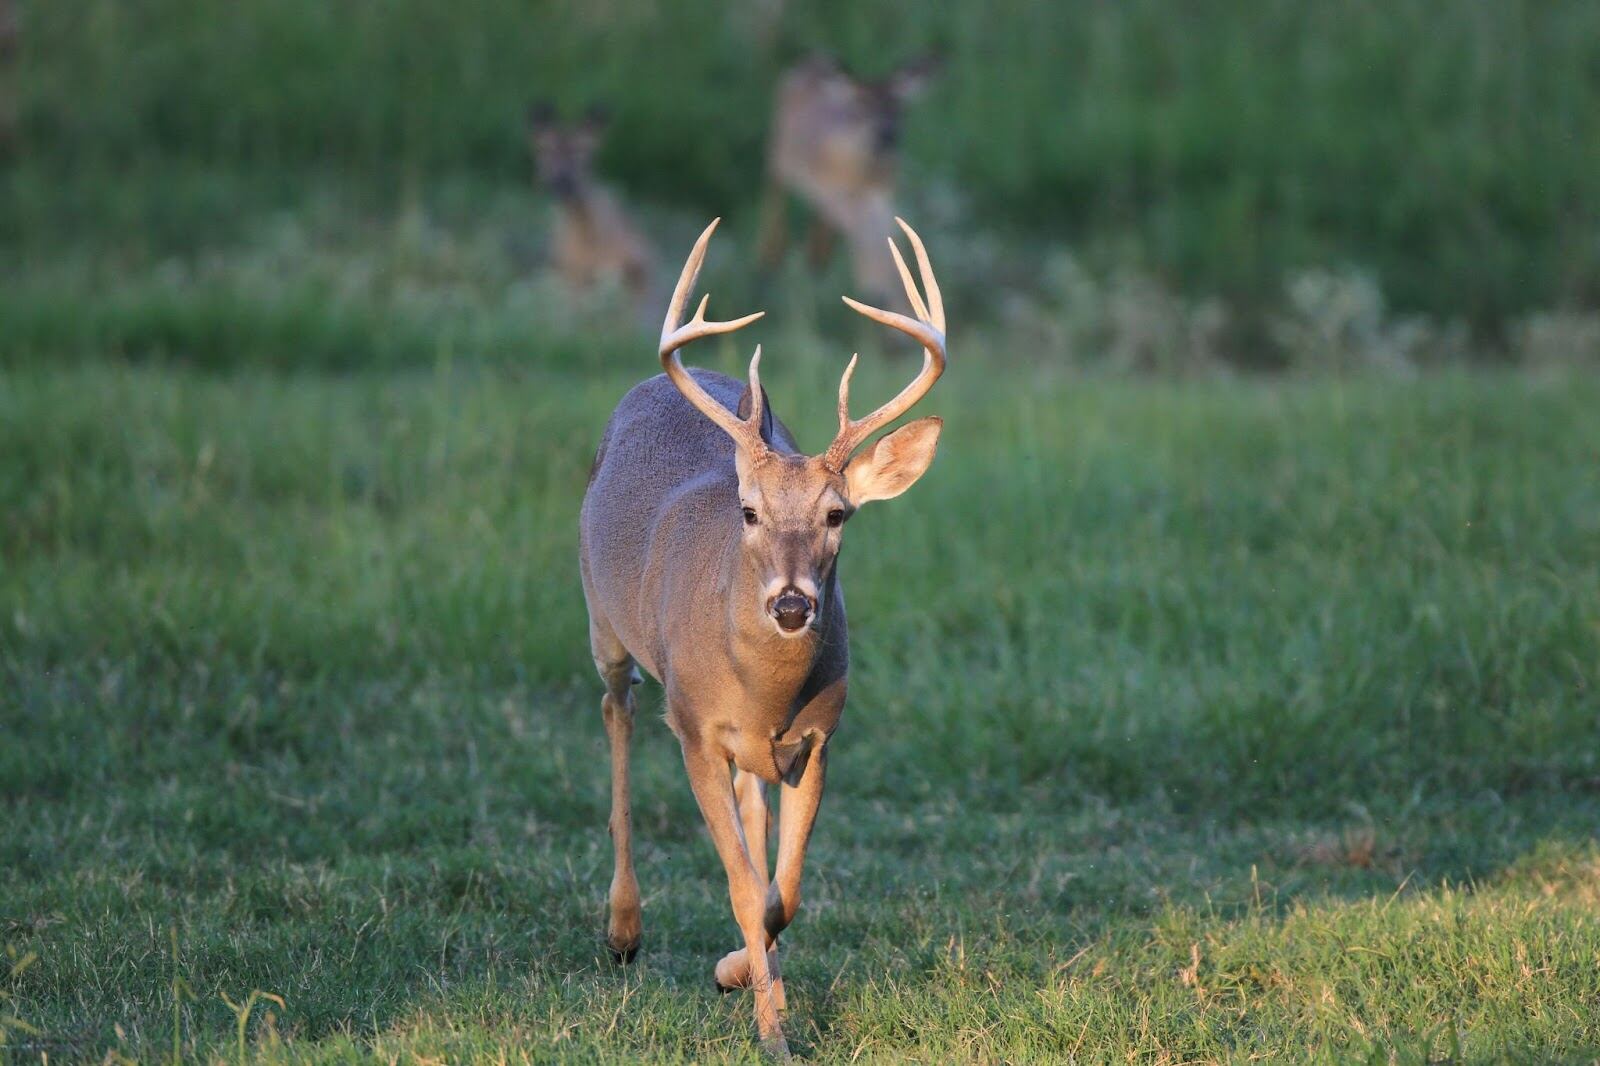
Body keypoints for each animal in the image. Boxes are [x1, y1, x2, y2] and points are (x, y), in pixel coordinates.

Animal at [578, 216, 947, 1056]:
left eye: (838, 513)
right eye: (748, 511)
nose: (789, 606)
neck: (766, 691)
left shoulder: (818, 737)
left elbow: (783, 893)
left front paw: (743, 975)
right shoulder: (694, 730)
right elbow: (749, 888)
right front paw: (773, 1029)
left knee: (752, 806)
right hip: (602, 618)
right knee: (617, 712)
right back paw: (623, 930)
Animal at [757, 51, 942, 308]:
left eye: (900, 109)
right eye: (862, 108)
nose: (888, 135)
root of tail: (810, 59)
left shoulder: (880, 195)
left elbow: (880, 237)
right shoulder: (841, 194)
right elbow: (869, 242)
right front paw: (875, 288)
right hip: (779, 155)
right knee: (775, 200)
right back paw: (767, 264)